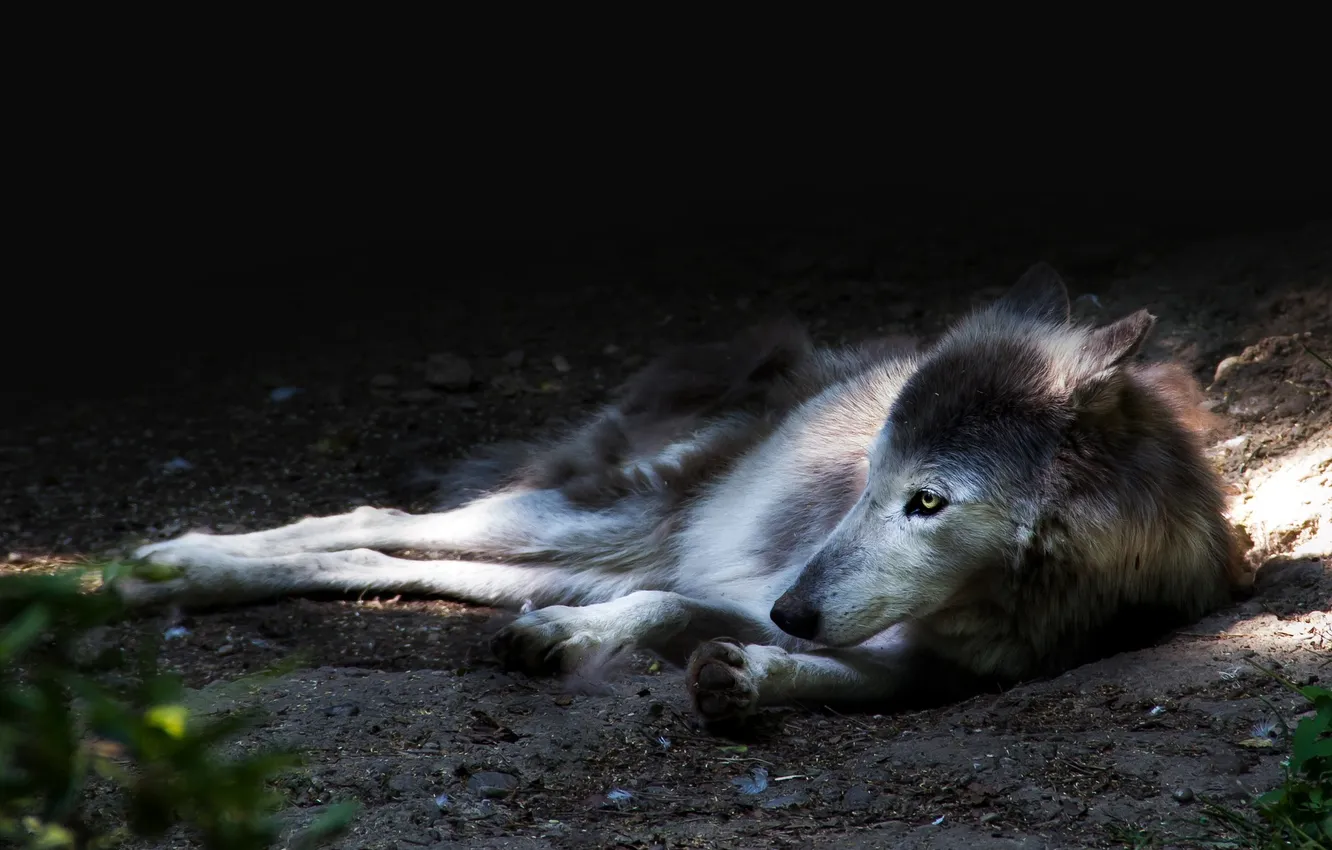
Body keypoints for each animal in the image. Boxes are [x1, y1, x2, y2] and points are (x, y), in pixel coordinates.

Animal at [116, 263, 1247, 722]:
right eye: (867, 484)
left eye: (927, 502)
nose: (793, 610)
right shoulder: (749, 589)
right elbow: (660, 610)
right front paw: (579, 648)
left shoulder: (944, 672)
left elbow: (829, 672)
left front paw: (747, 678)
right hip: (592, 519)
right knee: (371, 520)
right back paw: (160, 565)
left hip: (571, 555)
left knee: (379, 556)